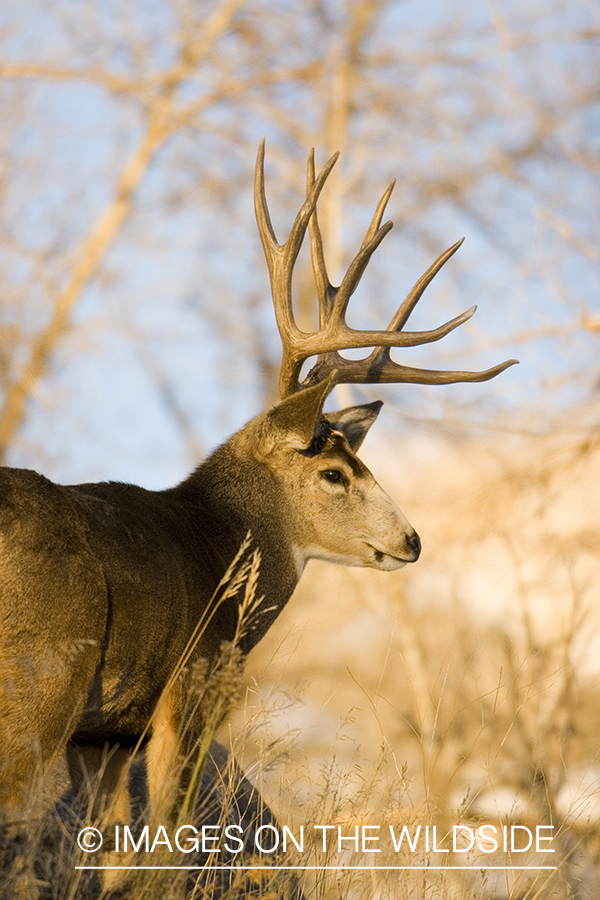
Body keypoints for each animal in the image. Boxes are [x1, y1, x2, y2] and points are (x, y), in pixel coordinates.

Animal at [0, 140, 517, 891]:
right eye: (334, 474)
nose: (412, 540)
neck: (216, 545)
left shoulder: (107, 735)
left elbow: (105, 861)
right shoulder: (190, 692)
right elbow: (166, 847)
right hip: (39, 679)